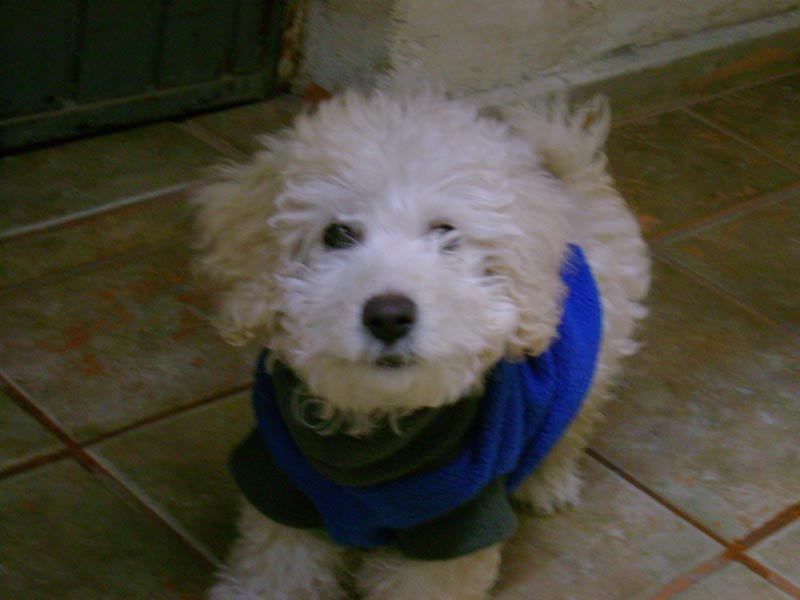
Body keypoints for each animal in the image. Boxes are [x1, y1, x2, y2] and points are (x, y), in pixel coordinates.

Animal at [194, 89, 648, 600]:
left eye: (446, 233)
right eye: (337, 234)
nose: (389, 315)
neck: (372, 431)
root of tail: (574, 180)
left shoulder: (457, 520)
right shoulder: (283, 483)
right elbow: (275, 573)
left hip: (590, 364)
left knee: (570, 425)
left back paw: (547, 483)